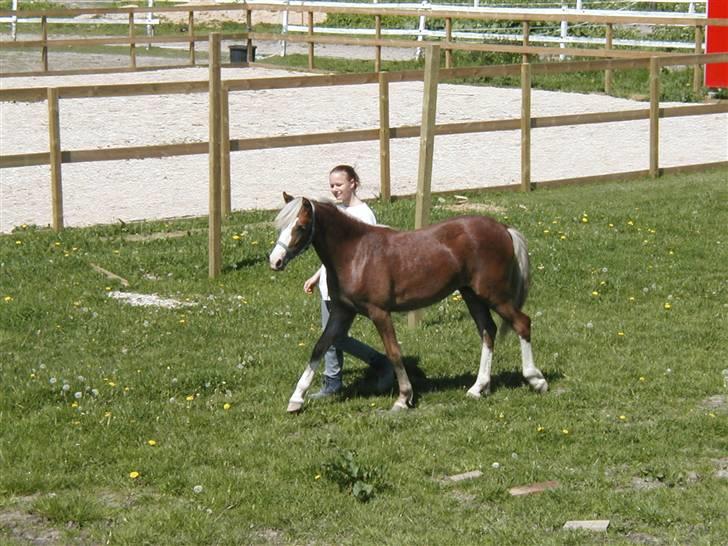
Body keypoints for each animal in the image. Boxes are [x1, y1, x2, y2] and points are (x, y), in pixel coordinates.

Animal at [269, 193, 547, 413]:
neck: (355, 254)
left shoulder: (379, 312)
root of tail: (503, 228)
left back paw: (536, 380)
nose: (275, 261)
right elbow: (320, 346)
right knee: (488, 330)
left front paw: (403, 398)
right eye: (281, 226)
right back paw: (478, 388)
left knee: (522, 323)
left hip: (493, 294)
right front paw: (296, 400)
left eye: (301, 226)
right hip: (472, 295)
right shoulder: (342, 312)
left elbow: (393, 352)